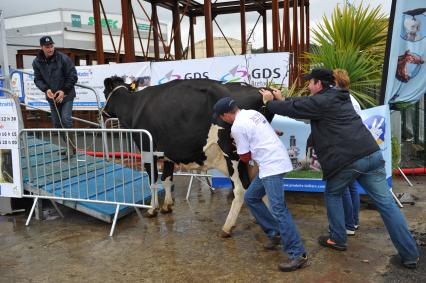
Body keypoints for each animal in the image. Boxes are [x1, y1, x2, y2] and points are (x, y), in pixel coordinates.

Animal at [103, 77, 276, 237]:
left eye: (105, 92)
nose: (103, 113)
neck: (134, 106)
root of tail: (258, 90)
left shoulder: (147, 150)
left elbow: (153, 181)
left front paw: (152, 210)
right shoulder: (167, 153)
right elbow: (167, 178)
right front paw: (167, 205)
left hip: (233, 154)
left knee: (241, 188)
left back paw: (227, 227)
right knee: (261, 180)